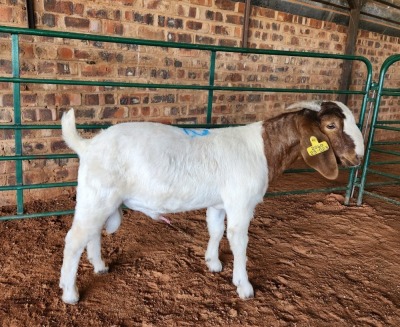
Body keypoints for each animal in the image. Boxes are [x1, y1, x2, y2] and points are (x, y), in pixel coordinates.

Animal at [60, 100, 366, 304]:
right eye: (331, 125)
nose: (359, 158)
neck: (262, 149)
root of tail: (88, 145)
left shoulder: (219, 203)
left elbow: (216, 230)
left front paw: (213, 262)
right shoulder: (241, 203)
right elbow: (239, 241)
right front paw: (244, 286)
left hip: (102, 199)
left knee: (92, 234)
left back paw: (99, 266)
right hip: (97, 195)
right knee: (75, 239)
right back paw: (70, 292)